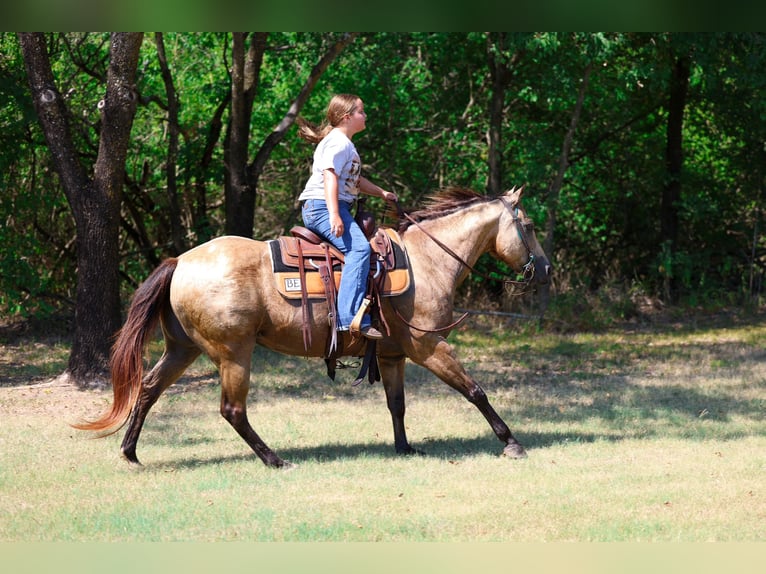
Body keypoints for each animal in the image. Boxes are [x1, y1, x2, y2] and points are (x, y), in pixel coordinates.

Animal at [74, 186, 551, 467]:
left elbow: (397, 405)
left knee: (149, 389)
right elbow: (475, 391)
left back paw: (130, 452)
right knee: (232, 410)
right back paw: (273, 459)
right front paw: (511, 442)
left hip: (182, 349)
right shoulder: (428, 348)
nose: (545, 270)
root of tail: (180, 262)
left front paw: (404, 447)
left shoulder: (393, 355)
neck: (427, 261)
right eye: (528, 225)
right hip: (233, 353)